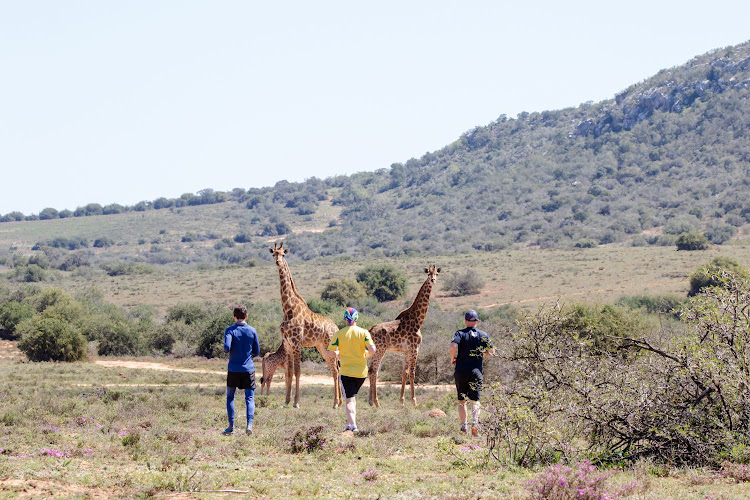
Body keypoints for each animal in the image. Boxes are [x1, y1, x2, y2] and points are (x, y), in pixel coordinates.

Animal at [268, 240, 342, 408]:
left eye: (283, 254)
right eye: (273, 253)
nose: (278, 262)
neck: (288, 309)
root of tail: (336, 327)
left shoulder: (296, 343)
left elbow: (297, 371)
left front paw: (296, 402)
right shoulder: (287, 344)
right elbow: (289, 372)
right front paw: (286, 401)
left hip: (329, 346)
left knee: (335, 370)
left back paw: (336, 403)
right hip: (322, 348)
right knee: (334, 369)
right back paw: (339, 402)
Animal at [366, 266, 438, 406]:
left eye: (437, 273)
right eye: (428, 274)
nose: (433, 280)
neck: (418, 320)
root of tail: (370, 330)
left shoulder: (406, 351)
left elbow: (404, 373)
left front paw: (402, 400)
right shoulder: (415, 348)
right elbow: (412, 373)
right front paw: (414, 401)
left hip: (375, 350)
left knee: (370, 369)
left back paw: (371, 401)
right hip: (380, 349)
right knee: (374, 370)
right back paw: (377, 403)